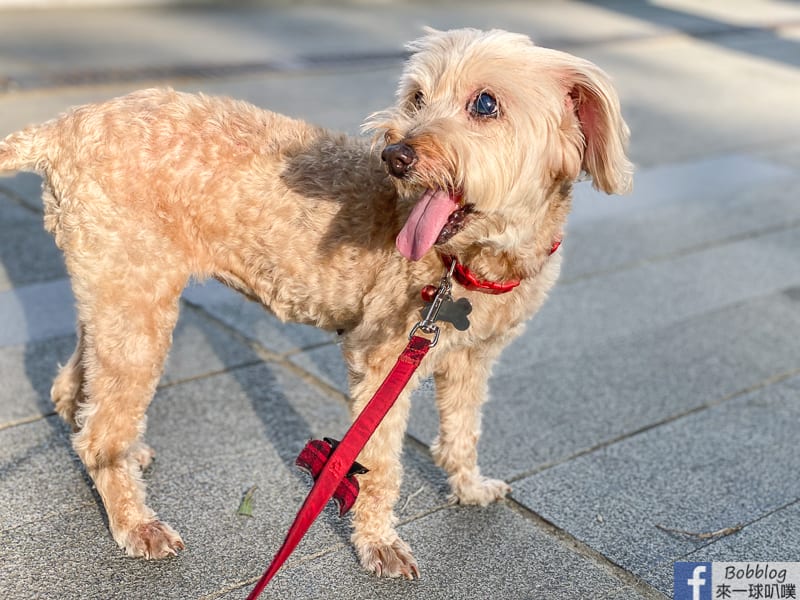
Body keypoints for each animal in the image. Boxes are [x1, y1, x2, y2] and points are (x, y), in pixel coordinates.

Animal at [0, 27, 636, 576]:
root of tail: (64, 127)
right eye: (417, 96)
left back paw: (122, 452)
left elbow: (463, 432)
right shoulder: (384, 359)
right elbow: (380, 462)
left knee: (75, 390)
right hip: (139, 310)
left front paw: (470, 488)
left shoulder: (471, 359)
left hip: (115, 291)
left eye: (485, 104)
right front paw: (378, 543)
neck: (474, 262)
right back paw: (136, 520)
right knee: (100, 432)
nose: (396, 155)